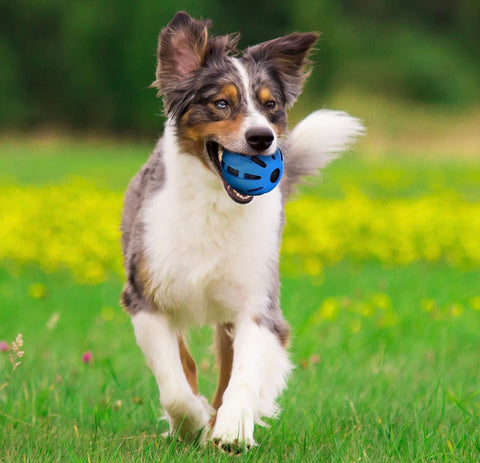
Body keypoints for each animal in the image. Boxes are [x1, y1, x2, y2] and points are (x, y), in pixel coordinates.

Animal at [121, 11, 364, 454]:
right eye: (221, 103)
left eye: (270, 106)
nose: (261, 138)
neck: (215, 205)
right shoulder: (145, 296)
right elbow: (175, 384)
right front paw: (193, 423)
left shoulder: (257, 303)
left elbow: (244, 374)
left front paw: (232, 430)